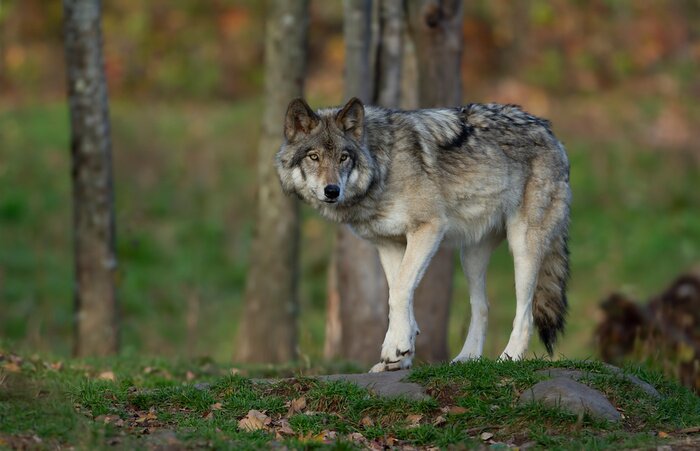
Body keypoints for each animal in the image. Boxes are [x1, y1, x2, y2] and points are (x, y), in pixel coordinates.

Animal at [275, 97, 570, 372]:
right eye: (313, 157)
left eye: (343, 157)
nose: (332, 190)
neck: (383, 166)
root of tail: (550, 132)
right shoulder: (389, 244)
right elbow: (399, 293)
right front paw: (400, 354)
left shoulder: (429, 228)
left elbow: (400, 291)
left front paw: (395, 347)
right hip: (470, 257)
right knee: (482, 307)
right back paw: (467, 359)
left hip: (523, 248)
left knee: (525, 313)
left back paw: (508, 359)